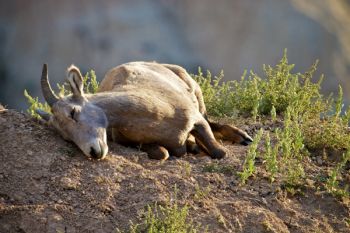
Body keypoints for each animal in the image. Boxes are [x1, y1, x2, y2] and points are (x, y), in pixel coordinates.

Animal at [37, 62, 252, 160]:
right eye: (66, 136)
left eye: (73, 112)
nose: (94, 152)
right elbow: (163, 153)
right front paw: (187, 146)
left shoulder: (196, 119)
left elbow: (219, 152)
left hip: (197, 95)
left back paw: (244, 138)